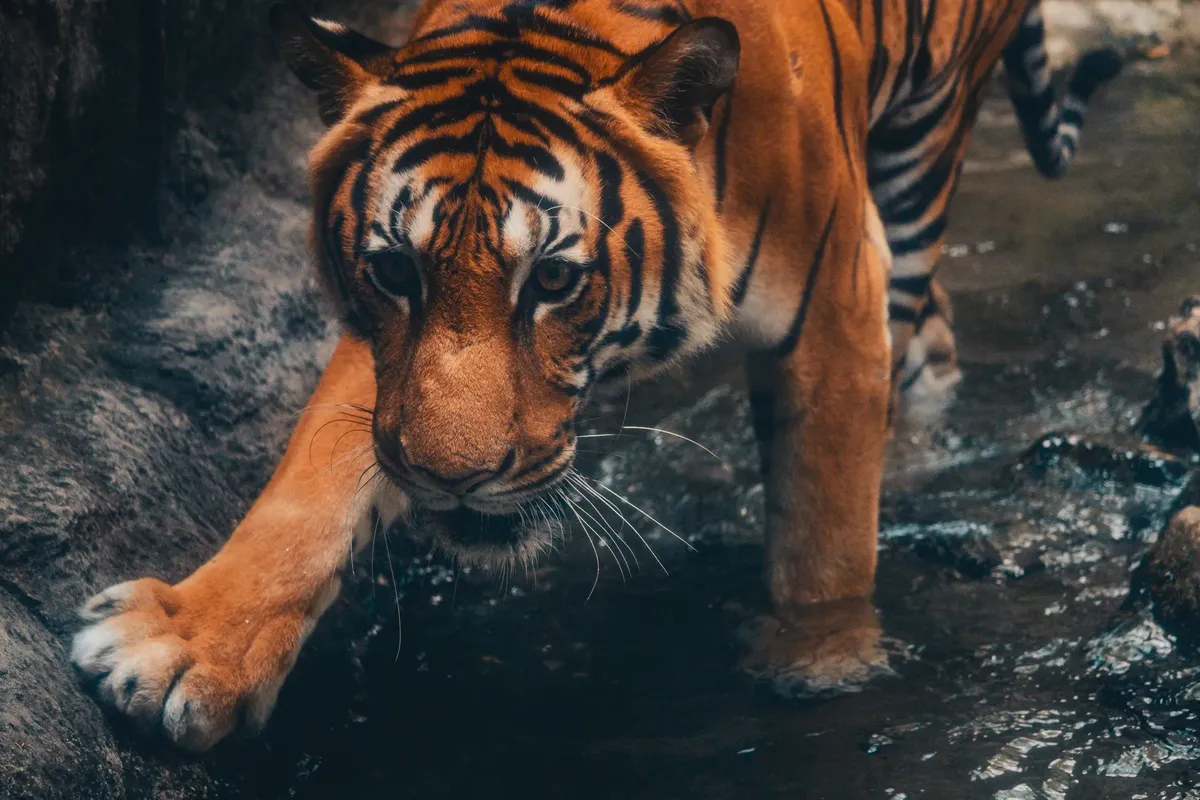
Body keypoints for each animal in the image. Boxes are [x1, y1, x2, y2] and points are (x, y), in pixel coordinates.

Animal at [70, 0, 1120, 751]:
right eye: (395, 272)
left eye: (554, 280)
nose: (453, 479)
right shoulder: (385, 361)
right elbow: (311, 486)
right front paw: (184, 650)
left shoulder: (837, 305)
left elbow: (821, 533)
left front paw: (820, 664)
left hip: (921, 155)